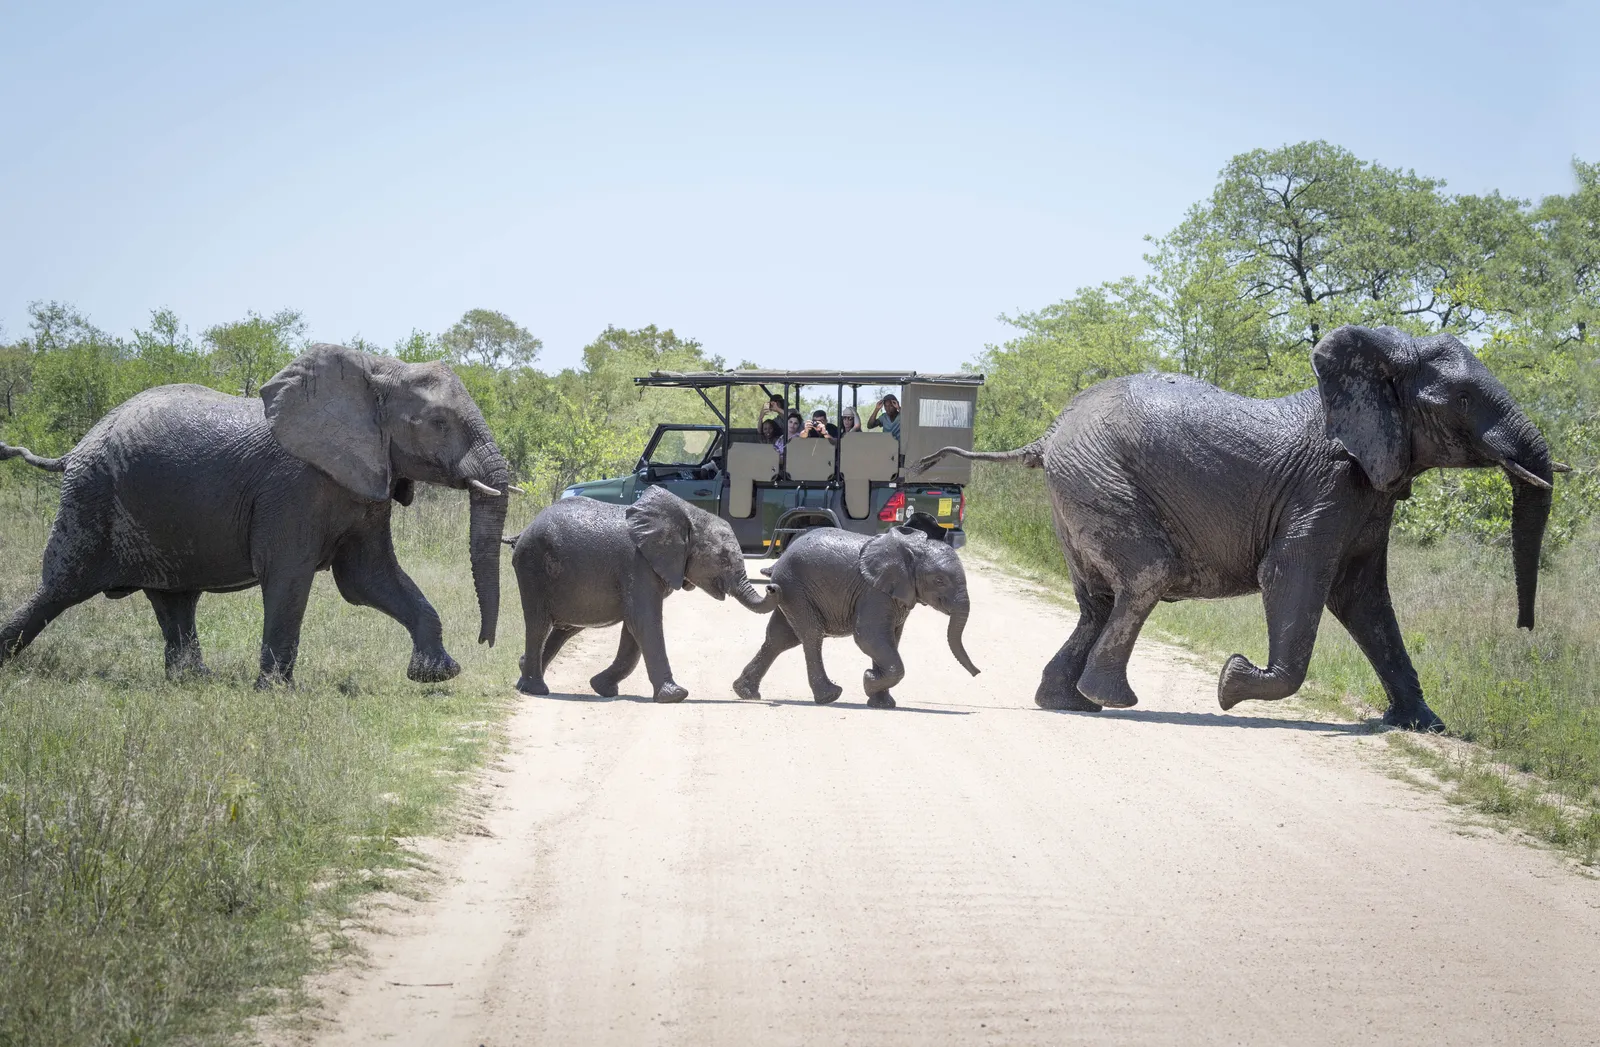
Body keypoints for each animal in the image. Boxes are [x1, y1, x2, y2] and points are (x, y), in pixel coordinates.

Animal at [0, 344, 511, 686]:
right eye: (439, 423)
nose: (486, 642)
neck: (376, 373)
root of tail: (74, 449)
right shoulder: (292, 488)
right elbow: (289, 577)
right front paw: (276, 692)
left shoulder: (366, 482)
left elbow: (369, 579)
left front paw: (437, 675)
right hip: (92, 498)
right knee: (60, 588)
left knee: (175, 600)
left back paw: (195, 682)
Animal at [510, 485, 780, 703]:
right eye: (722, 559)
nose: (772, 585)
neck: (689, 515)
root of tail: (525, 530)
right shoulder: (637, 563)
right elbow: (644, 620)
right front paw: (676, 696)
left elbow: (633, 630)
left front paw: (603, 688)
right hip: (532, 566)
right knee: (539, 624)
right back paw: (536, 689)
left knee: (564, 630)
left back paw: (523, 677)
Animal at [732, 524, 981, 708]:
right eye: (939, 581)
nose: (977, 673)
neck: (911, 551)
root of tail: (778, 561)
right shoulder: (874, 591)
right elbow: (869, 637)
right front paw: (869, 680)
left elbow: (890, 639)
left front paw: (882, 703)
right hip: (795, 587)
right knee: (811, 634)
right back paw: (829, 696)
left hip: (789, 591)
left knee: (780, 638)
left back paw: (746, 693)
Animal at [914, 324, 1558, 733]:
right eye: (1464, 400)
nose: (1527, 629)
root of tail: (1047, 435)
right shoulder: (1325, 488)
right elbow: (1292, 576)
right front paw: (1232, 683)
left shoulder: (1370, 494)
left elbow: (1366, 600)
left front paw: (1426, 727)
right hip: (1097, 478)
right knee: (1144, 578)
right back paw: (1111, 700)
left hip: (1078, 492)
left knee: (1099, 600)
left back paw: (1070, 702)